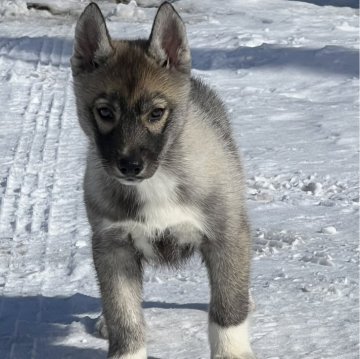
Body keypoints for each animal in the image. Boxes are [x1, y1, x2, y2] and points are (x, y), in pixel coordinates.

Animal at [71, 2, 256, 359]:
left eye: (156, 113)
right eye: (105, 112)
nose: (130, 166)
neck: (156, 182)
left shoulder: (225, 235)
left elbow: (226, 309)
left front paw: (232, 351)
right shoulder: (113, 246)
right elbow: (124, 315)